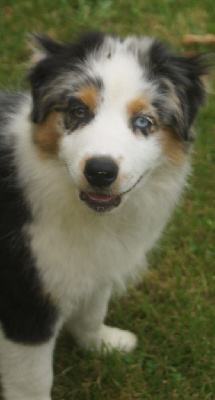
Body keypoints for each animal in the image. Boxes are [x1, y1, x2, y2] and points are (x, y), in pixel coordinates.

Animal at [0, 32, 208, 400]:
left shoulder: (96, 263)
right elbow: (32, 378)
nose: (100, 171)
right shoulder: (25, 295)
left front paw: (104, 344)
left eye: (144, 122)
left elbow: (93, 310)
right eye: (77, 111)